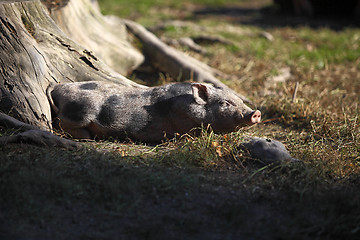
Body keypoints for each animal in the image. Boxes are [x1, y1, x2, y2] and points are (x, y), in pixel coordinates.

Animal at [48, 81, 262, 142]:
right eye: (225, 103)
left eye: (240, 100)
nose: (256, 112)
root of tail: (57, 87)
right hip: (80, 113)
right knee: (61, 124)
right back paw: (88, 139)